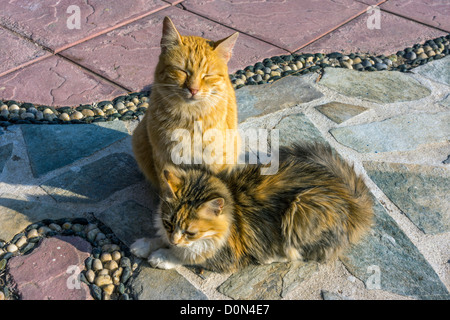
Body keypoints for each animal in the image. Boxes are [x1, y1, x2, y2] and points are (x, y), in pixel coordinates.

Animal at [130, 143, 372, 272]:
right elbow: (159, 238)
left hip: (299, 211)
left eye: (191, 232)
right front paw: (144, 245)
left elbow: (187, 256)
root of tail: (350, 201)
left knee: (299, 253)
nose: (174, 239)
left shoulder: (226, 257)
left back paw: (271, 256)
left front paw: (162, 256)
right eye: (168, 223)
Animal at [132, 16, 241, 190]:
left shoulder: (217, 161)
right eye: (182, 71)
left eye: (207, 75)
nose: (193, 89)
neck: (190, 116)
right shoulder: (165, 161)